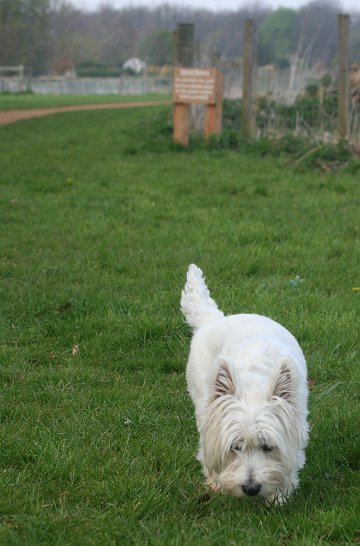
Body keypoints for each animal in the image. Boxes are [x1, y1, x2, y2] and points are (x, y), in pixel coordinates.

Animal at [181, 264, 308, 502]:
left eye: (268, 447)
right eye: (235, 447)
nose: (251, 488)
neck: (253, 384)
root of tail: (215, 320)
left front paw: (279, 495)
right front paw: (217, 484)